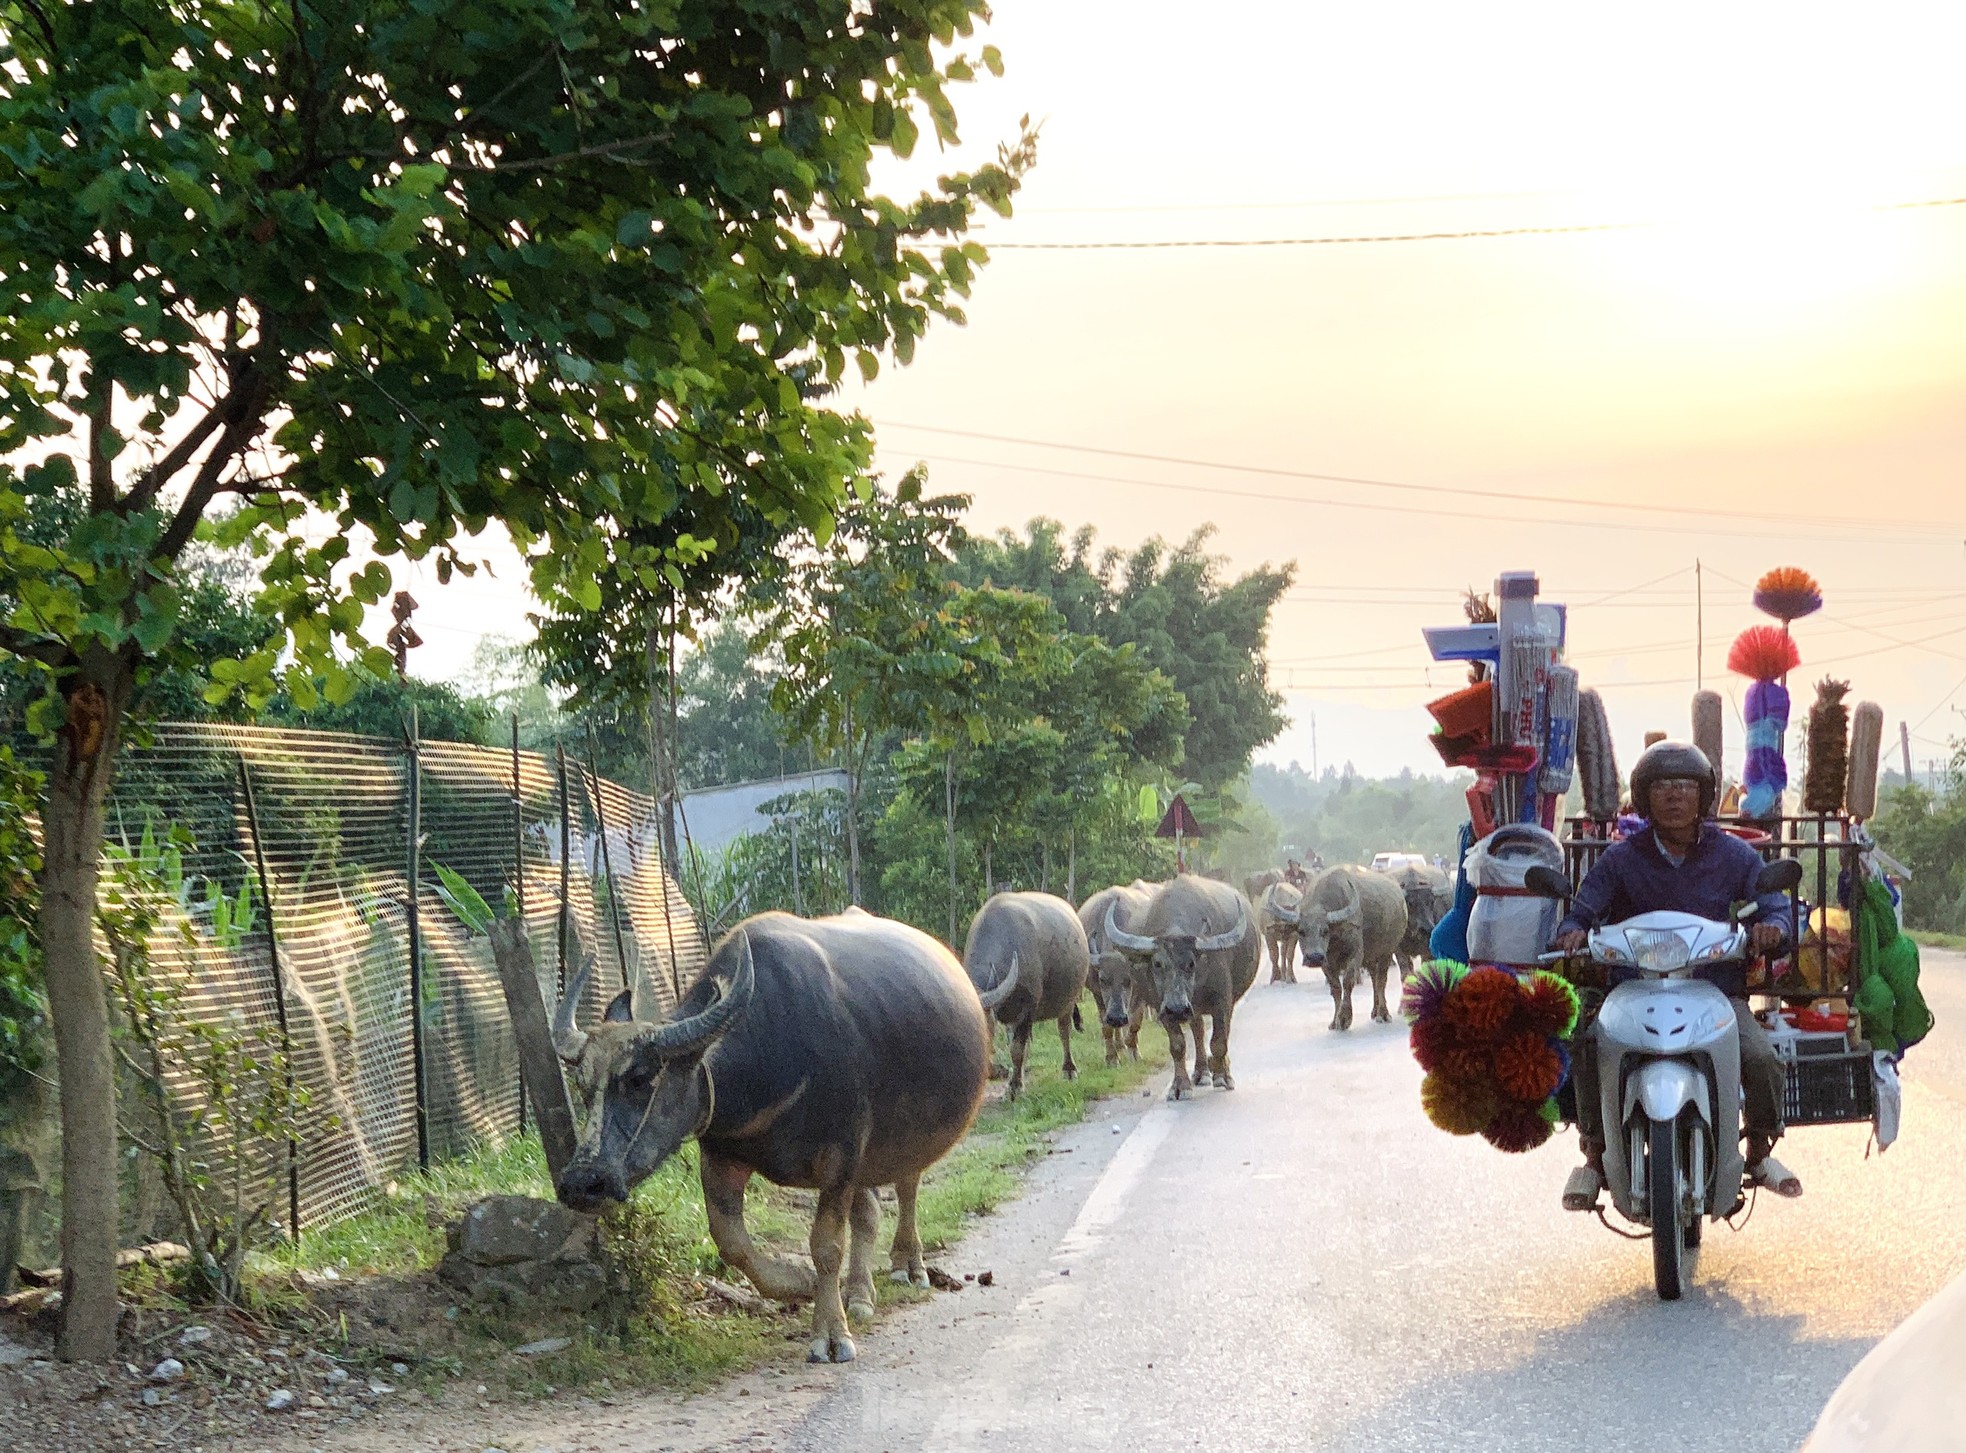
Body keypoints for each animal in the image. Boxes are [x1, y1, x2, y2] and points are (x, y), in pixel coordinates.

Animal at [550, 916, 983, 1368]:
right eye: (583, 1086)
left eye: (639, 1078)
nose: (583, 1182)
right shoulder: (722, 1157)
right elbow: (731, 1242)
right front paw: (802, 1284)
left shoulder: (841, 1160)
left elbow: (826, 1246)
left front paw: (831, 1335)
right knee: (868, 1212)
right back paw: (859, 1294)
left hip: (906, 1139)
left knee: (908, 1187)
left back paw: (908, 1266)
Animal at [963, 884, 1093, 1101]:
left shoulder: (1027, 1010)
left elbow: (1017, 1049)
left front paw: (1014, 1087)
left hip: (1068, 1000)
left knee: (1064, 1031)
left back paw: (1069, 1069)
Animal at [1108, 876, 1258, 1101]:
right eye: (1157, 964)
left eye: (1191, 963)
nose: (1178, 1008)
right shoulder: (1162, 1007)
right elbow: (1178, 1045)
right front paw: (1180, 1086)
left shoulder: (1222, 1001)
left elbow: (1219, 1042)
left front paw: (1221, 1075)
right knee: (1198, 1030)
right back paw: (1201, 1072)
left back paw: (1219, 1072)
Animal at [1297, 869, 1407, 1030]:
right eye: (1301, 931)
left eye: (1325, 931)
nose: (1314, 957)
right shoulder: (1326, 963)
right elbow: (1335, 987)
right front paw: (1334, 1021)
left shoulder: (1356, 953)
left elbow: (1348, 981)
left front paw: (1344, 1018)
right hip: (1371, 955)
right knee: (1374, 978)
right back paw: (1375, 1011)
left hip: (1387, 951)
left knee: (1381, 980)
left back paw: (1383, 1014)